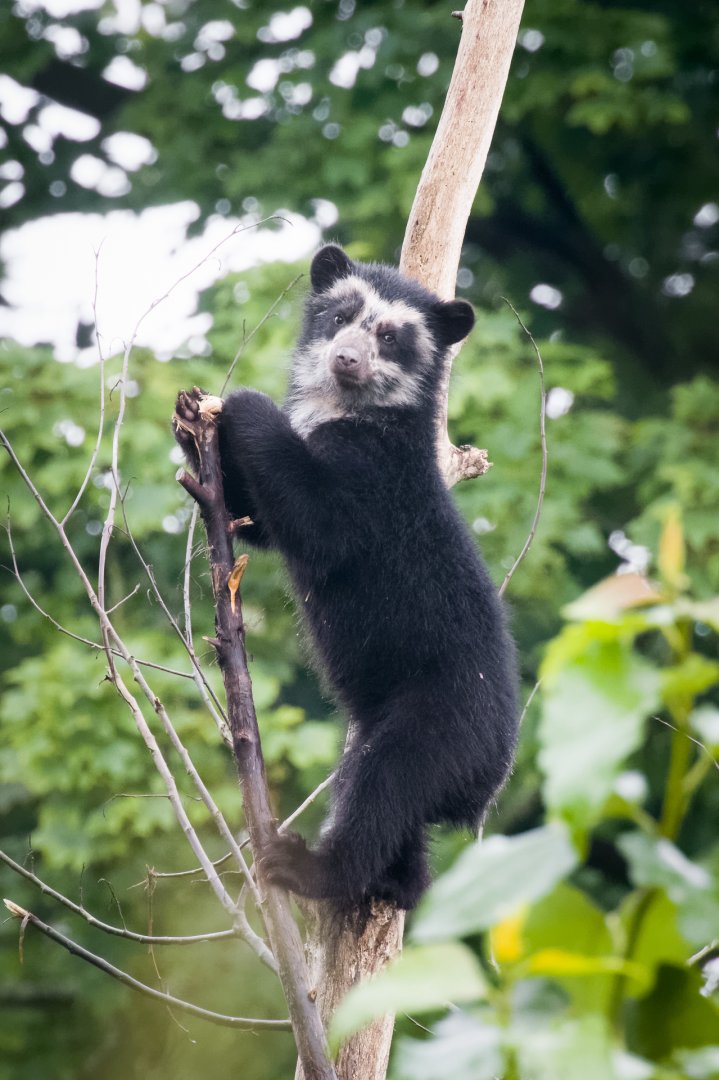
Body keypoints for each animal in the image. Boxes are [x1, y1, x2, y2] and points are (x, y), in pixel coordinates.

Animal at [174, 244, 519, 912]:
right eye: (340, 315)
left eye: (390, 337)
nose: (346, 359)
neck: (345, 409)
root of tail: (486, 788)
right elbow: (258, 521)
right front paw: (191, 429)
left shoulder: (371, 474)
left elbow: (318, 522)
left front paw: (245, 405)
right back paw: (397, 884)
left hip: (438, 720)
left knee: (385, 790)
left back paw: (309, 867)